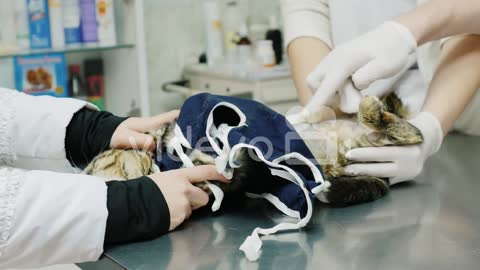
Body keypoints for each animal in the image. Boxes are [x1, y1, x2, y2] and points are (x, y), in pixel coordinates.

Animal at [84, 94, 422, 207]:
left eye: (94, 166)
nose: (87, 178)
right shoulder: (225, 183)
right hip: (365, 152)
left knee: (412, 131)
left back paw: (374, 108)